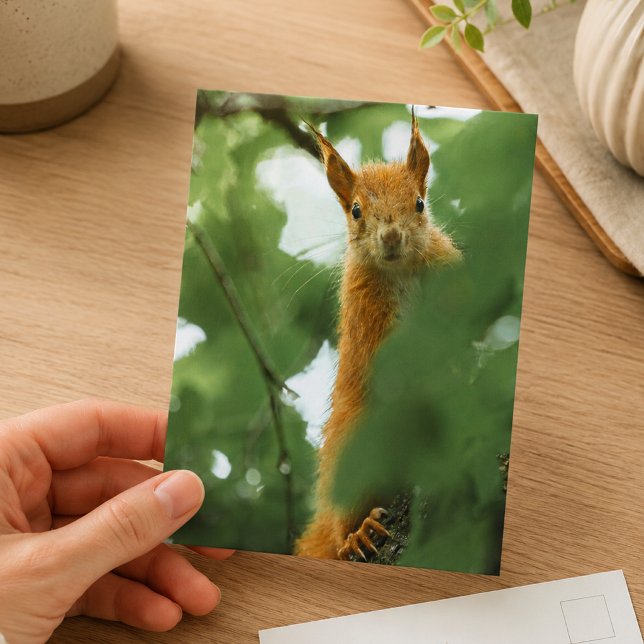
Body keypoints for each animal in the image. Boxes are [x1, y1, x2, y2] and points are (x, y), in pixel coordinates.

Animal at [294, 109, 461, 561]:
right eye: (355, 210)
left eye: (419, 203)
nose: (390, 236)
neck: (400, 272)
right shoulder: (365, 312)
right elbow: (386, 358)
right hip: (354, 442)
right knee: (343, 524)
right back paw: (357, 532)